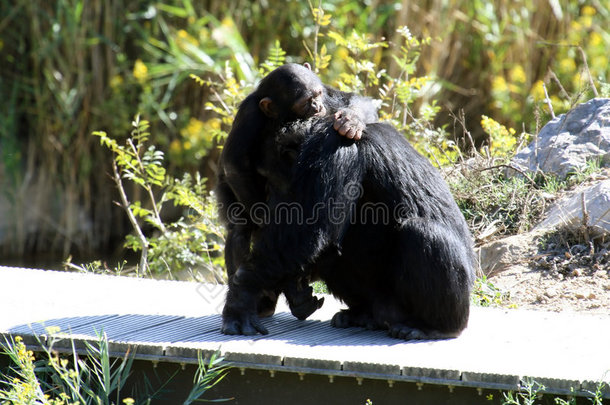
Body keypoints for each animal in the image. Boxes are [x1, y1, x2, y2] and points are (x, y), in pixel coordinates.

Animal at [214, 64, 376, 322]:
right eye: (305, 102)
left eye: (317, 95)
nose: (318, 107)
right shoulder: (249, 116)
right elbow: (235, 163)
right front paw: (260, 218)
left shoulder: (328, 93)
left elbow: (351, 98)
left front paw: (351, 120)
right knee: (240, 229)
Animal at [220, 117, 476, 340]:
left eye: (266, 177)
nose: (268, 197)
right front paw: (291, 291)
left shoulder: (334, 149)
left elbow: (308, 231)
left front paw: (241, 297)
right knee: (333, 253)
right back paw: (362, 314)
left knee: (422, 233)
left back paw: (434, 327)